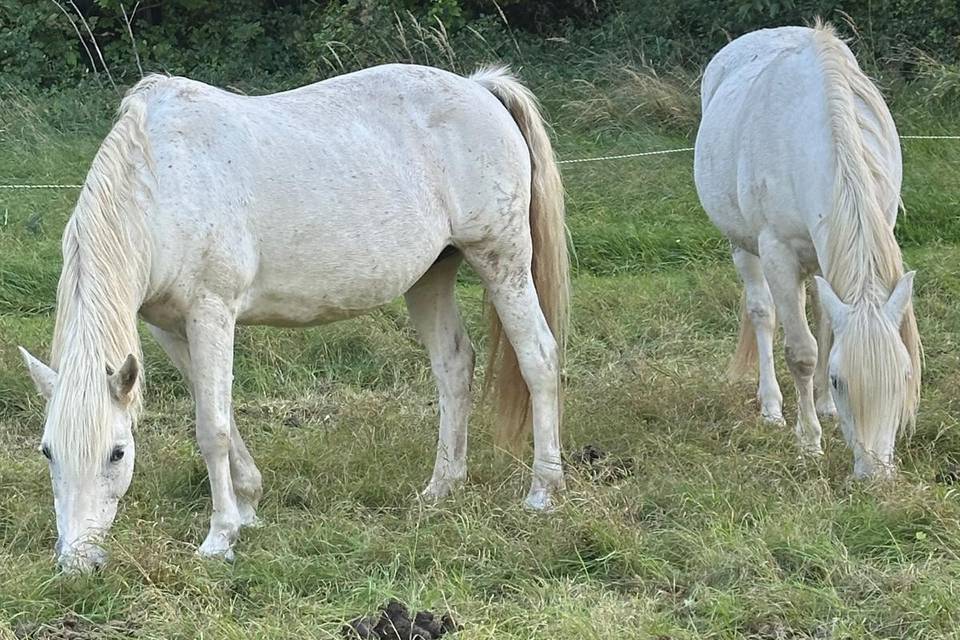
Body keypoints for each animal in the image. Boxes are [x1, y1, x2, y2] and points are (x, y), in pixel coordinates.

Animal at [19, 64, 570, 572]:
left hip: (502, 260)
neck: (160, 182)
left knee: (539, 358)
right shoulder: (170, 328)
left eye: (117, 452)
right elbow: (216, 410)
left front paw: (220, 538)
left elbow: (212, 428)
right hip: (431, 278)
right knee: (454, 367)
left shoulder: (212, 313)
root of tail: (479, 87)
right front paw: (248, 505)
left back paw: (543, 490)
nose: (77, 563)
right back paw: (440, 488)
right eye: (47, 452)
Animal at [694, 22, 921, 478]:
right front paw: (810, 444)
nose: (875, 476)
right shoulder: (777, 252)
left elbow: (828, 332)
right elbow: (802, 353)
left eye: (905, 375)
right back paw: (771, 408)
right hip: (744, 247)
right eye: (840, 380)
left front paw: (824, 410)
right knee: (763, 314)